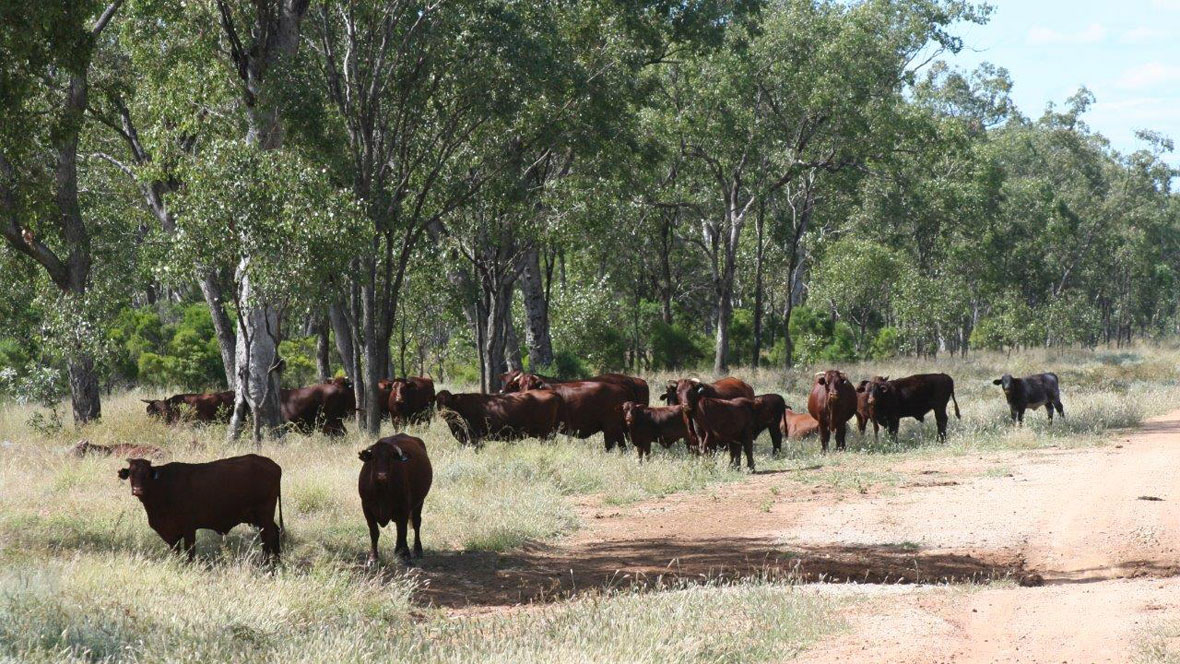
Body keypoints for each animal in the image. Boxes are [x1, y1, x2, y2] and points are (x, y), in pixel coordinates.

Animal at [117, 454, 283, 562]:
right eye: (131, 474)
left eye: (146, 474)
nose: (137, 490)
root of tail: (274, 465)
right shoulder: (172, 533)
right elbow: (176, 551)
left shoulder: (189, 528)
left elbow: (190, 552)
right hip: (260, 518)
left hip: (264, 515)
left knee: (269, 536)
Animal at [358, 434, 432, 566]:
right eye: (374, 458)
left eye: (390, 458)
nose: (382, 475)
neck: (381, 491)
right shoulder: (366, 508)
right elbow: (374, 532)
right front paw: (373, 558)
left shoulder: (403, 508)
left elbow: (402, 531)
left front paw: (405, 555)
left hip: (419, 503)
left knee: (416, 523)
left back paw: (417, 550)